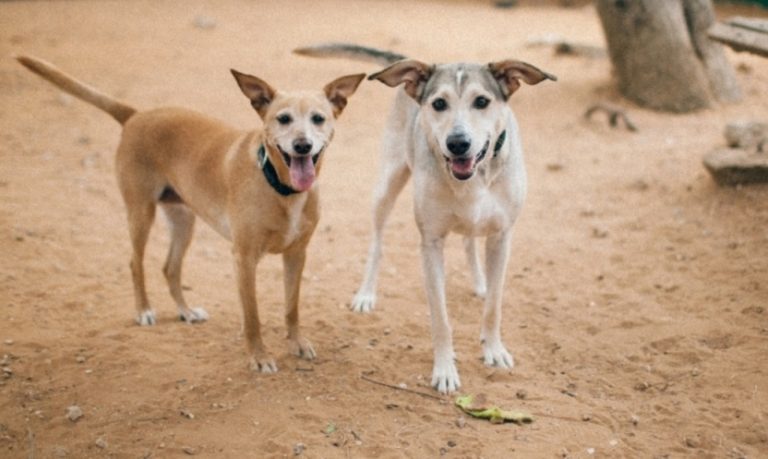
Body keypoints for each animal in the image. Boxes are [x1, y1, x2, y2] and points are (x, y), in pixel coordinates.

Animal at [17, 54, 366, 374]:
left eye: (318, 118)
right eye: (283, 119)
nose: (302, 145)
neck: (281, 188)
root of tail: (137, 115)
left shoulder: (297, 254)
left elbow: (292, 307)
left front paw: (296, 343)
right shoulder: (243, 258)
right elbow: (252, 317)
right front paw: (259, 357)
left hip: (183, 220)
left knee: (169, 268)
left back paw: (185, 311)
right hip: (140, 212)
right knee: (135, 262)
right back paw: (144, 310)